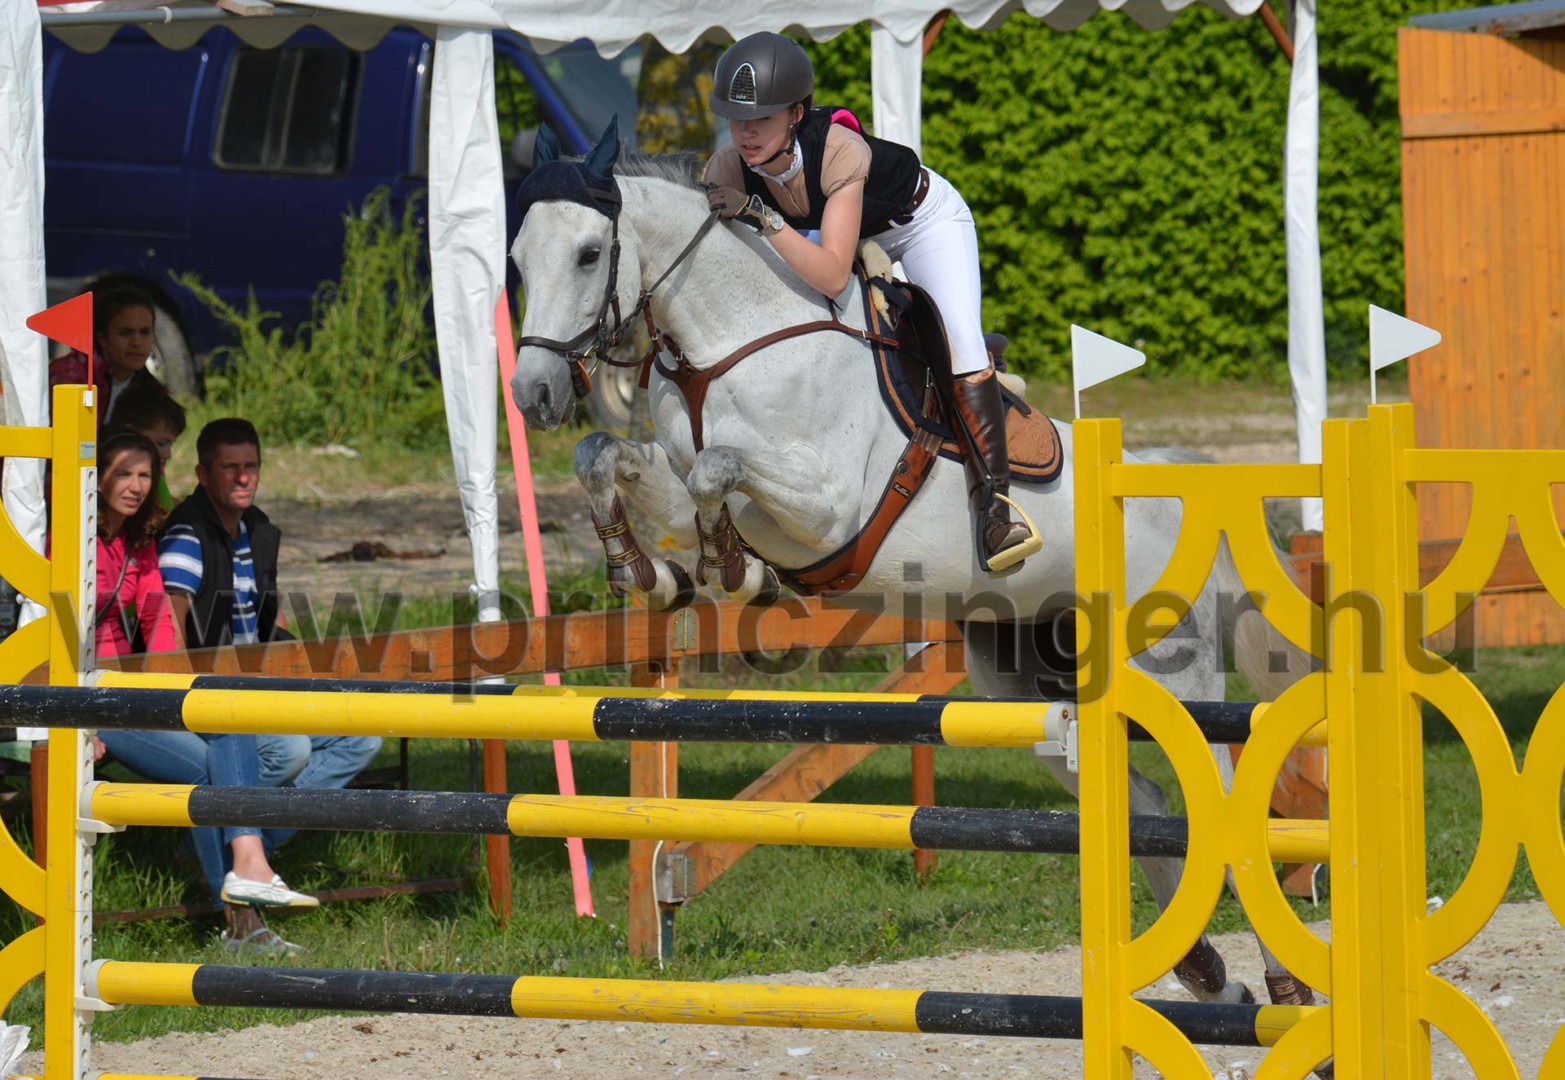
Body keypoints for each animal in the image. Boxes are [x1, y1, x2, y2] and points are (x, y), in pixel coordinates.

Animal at [507, 128, 1316, 1019]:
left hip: (1169, 673)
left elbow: (718, 468)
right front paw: (651, 573)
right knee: (1142, 804)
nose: (533, 392)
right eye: (516, 258)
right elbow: (611, 458)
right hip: (1031, 685)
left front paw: (733, 573)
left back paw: (1280, 985)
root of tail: (1176, 485)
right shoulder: (690, 484)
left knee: (1217, 799)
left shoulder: (825, 508)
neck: (726, 349)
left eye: (589, 254)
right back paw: (1206, 973)